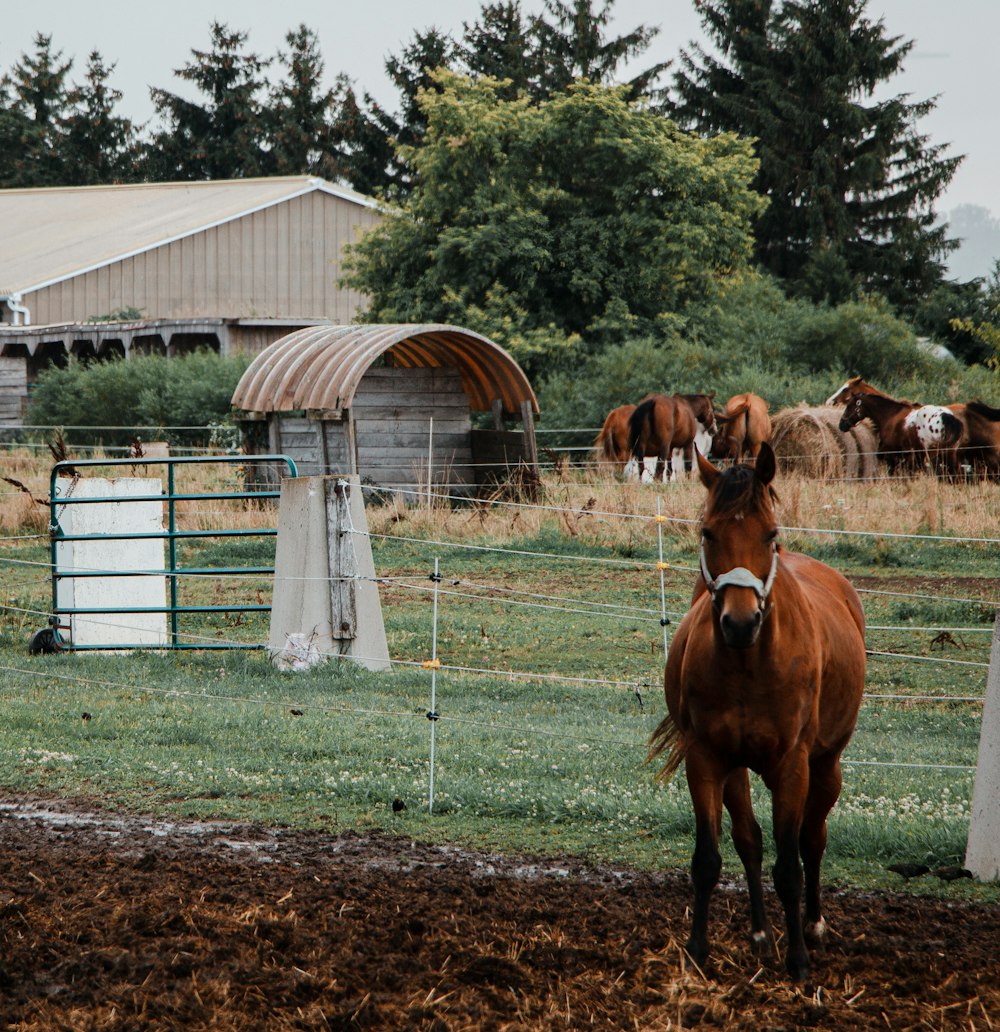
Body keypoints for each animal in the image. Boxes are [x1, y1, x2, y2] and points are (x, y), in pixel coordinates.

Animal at [648, 441, 866, 974]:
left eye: (769, 533)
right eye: (708, 532)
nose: (740, 622)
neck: (749, 665)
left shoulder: (792, 767)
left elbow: (790, 865)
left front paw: (799, 959)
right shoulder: (707, 761)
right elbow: (710, 857)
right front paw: (698, 950)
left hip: (826, 765)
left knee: (812, 839)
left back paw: (812, 925)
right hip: (737, 770)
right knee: (750, 838)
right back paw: (762, 932)